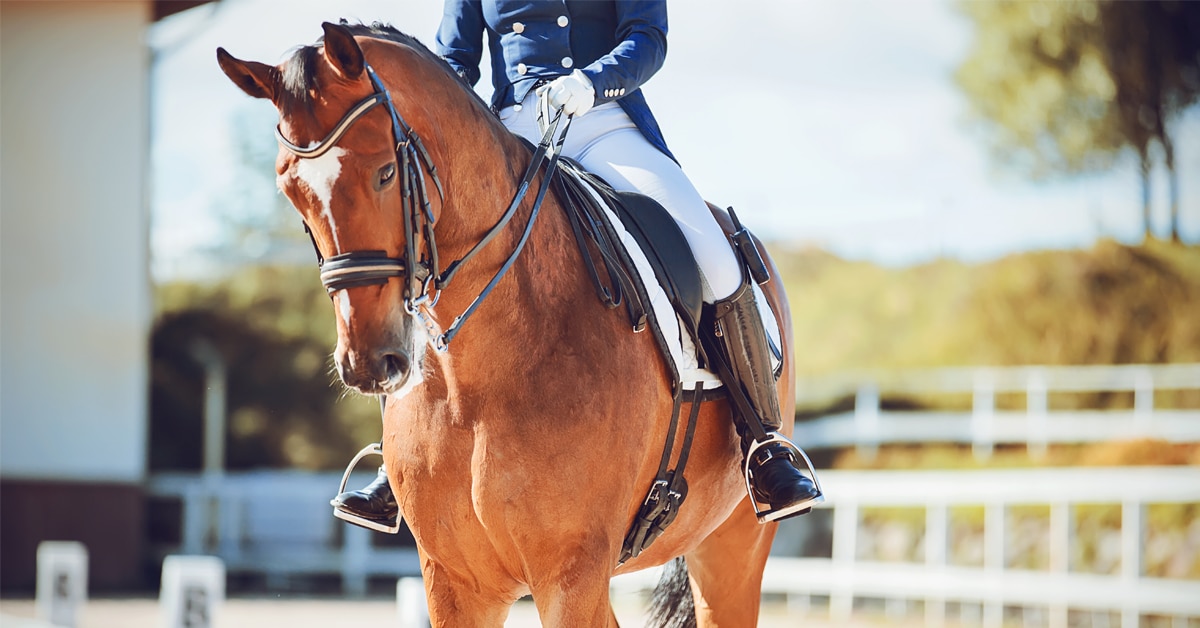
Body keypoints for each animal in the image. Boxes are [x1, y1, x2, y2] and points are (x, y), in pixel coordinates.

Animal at [217, 21, 797, 627]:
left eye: (384, 172)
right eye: (290, 191)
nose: (368, 362)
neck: (478, 378)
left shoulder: (570, 576)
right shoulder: (456, 584)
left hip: (732, 544)